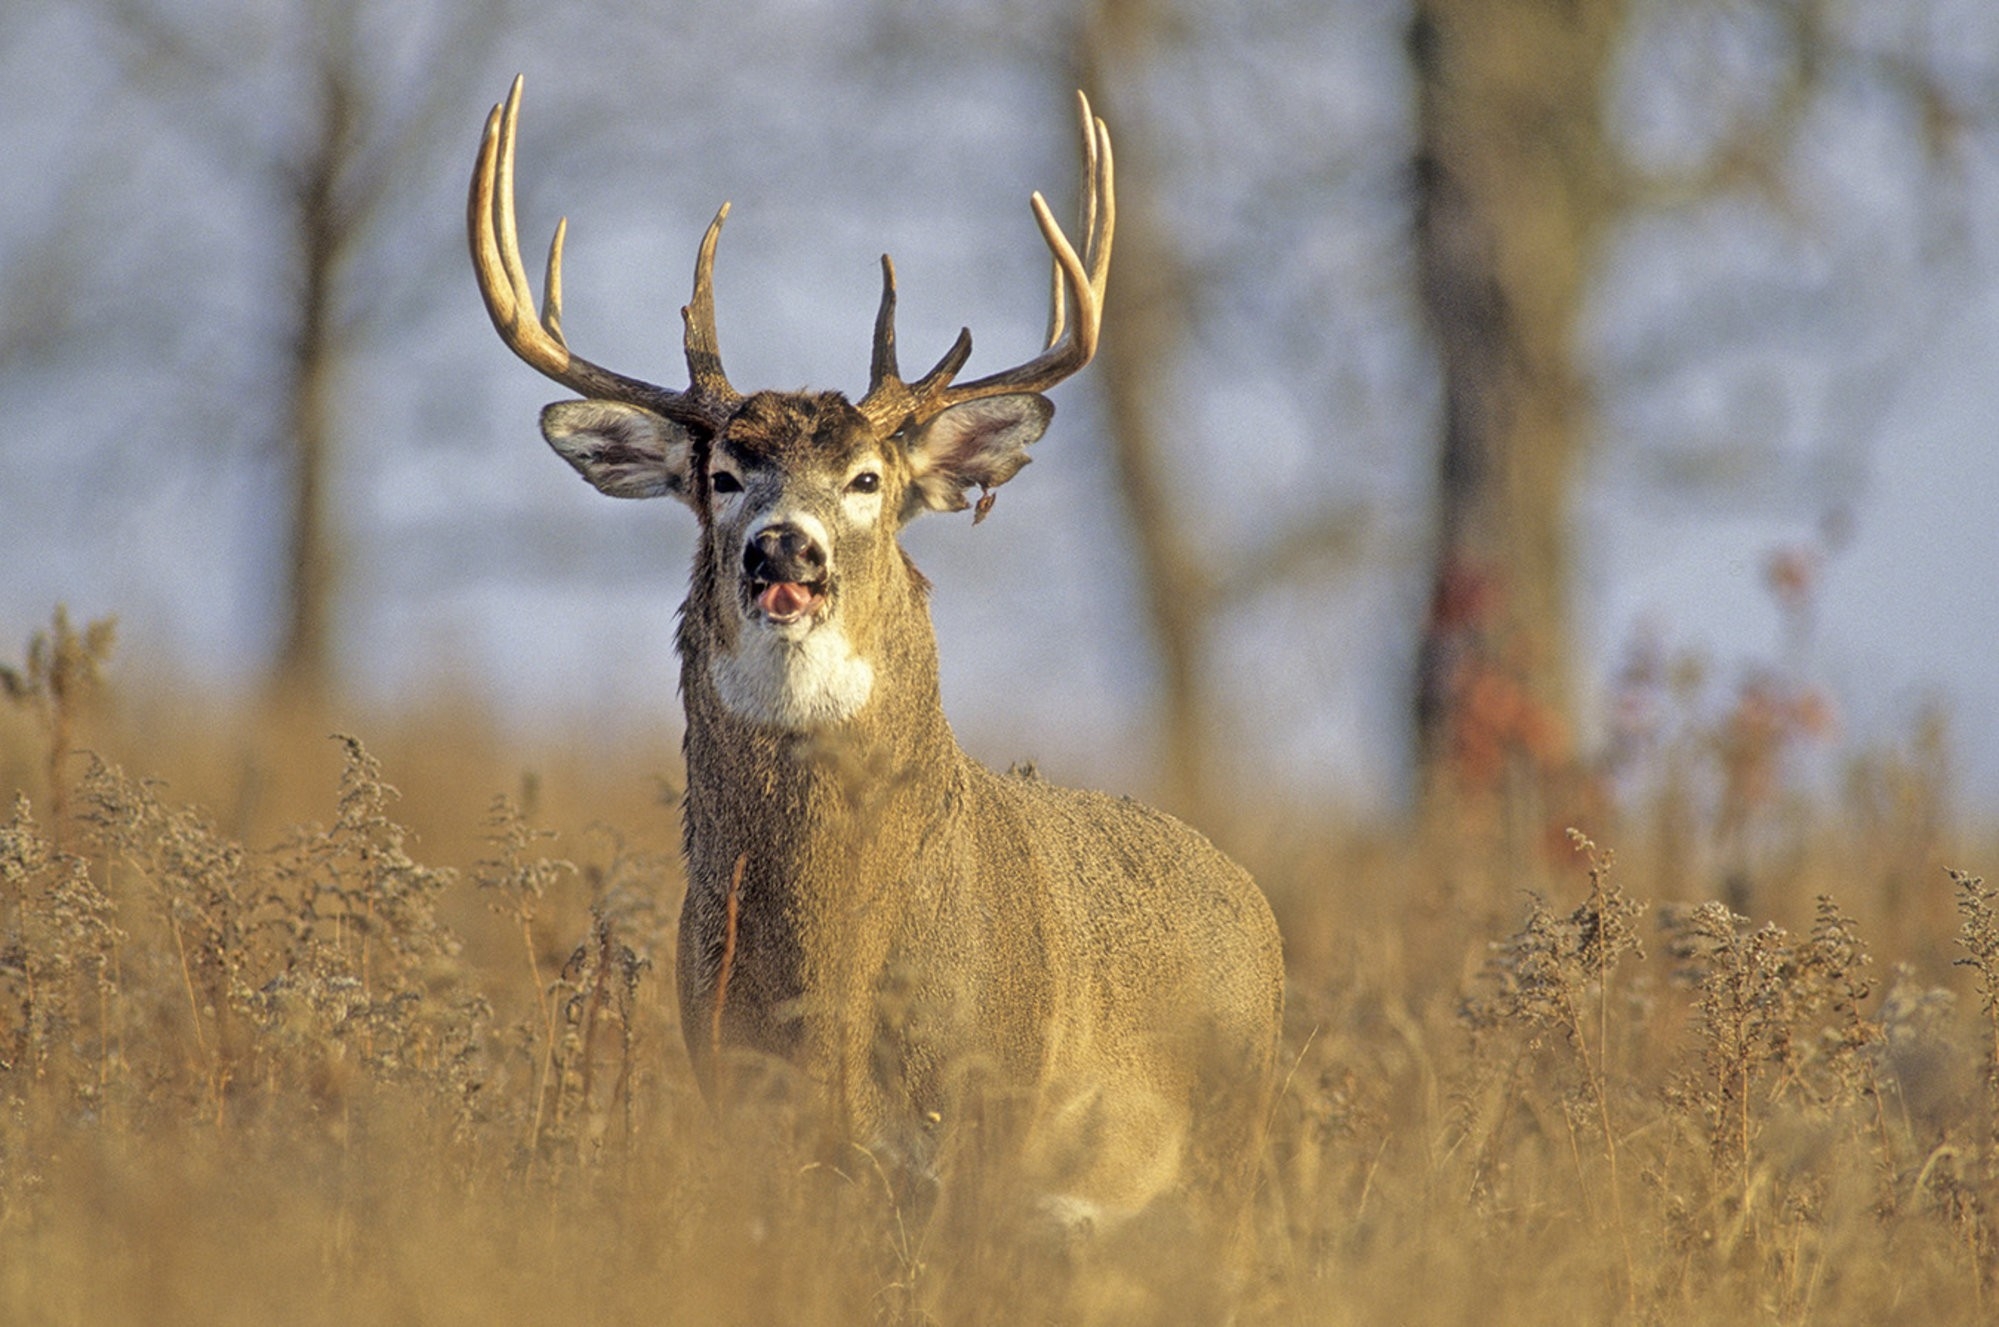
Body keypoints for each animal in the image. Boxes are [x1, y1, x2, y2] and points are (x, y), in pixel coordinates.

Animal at [465, 77, 1279, 1247]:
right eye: (724, 473)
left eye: (864, 479)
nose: (782, 548)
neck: (835, 1001)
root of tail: (1255, 903)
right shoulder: (745, 1113)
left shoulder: (985, 1120)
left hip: (1220, 1158)